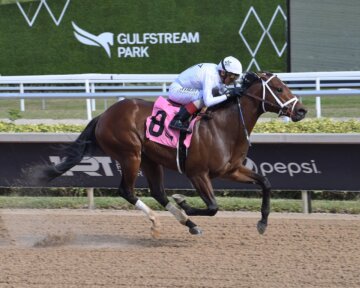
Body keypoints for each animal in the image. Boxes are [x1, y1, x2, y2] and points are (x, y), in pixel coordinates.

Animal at [35, 71, 306, 236]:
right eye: (279, 88)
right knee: (127, 191)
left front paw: (262, 223)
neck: (224, 126)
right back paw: (165, 219)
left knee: (157, 191)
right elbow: (213, 206)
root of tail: (104, 115)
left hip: (149, 160)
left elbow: (266, 182)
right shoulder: (197, 173)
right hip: (130, 154)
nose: (302, 110)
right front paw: (184, 202)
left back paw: (188, 223)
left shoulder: (231, 170)